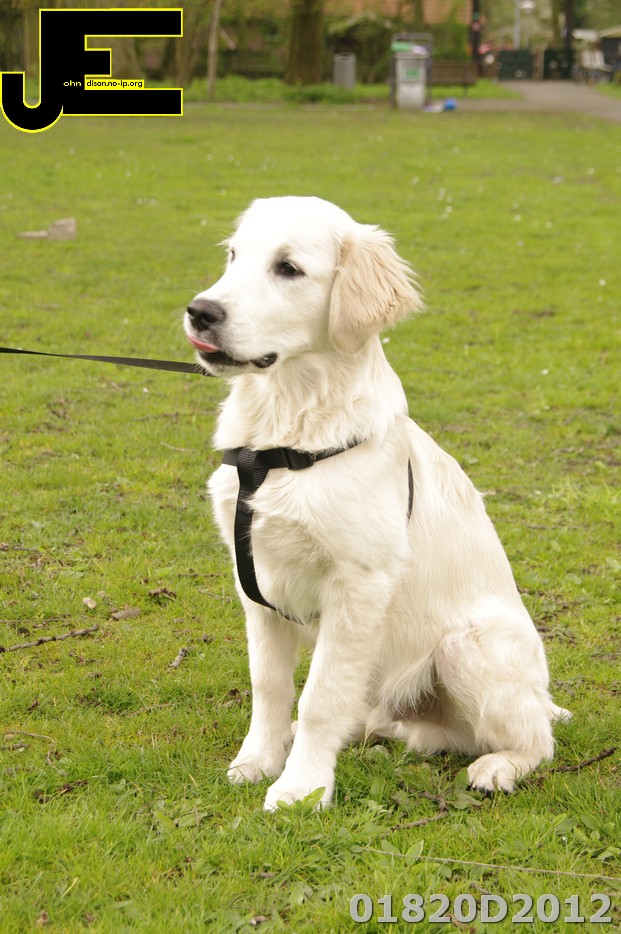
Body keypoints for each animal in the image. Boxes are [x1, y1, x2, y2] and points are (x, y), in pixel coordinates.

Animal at [184, 196, 570, 810]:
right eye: (234, 255)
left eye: (288, 268)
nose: (200, 312)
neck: (285, 432)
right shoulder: (257, 580)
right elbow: (270, 684)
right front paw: (258, 759)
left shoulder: (357, 584)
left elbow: (320, 695)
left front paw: (300, 788)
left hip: (467, 645)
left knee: (536, 737)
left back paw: (500, 767)